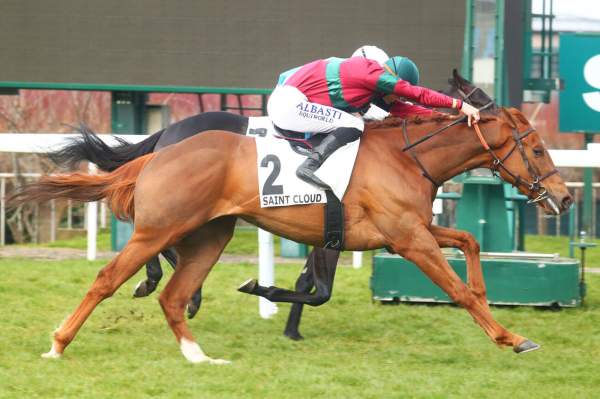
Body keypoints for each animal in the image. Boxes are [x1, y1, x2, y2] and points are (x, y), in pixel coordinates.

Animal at [10, 108, 572, 364]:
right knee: (108, 279)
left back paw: (199, 356)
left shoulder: (408, 230)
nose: (564, 198)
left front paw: (489, 295)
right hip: (160, 227)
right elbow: (455, 289)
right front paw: (511, 337)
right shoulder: (407, 239)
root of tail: (161, 149)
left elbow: (470, 243)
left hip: (210, 236)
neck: (406, 156)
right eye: (537, 150)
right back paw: (59, 344)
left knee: (174, 295)